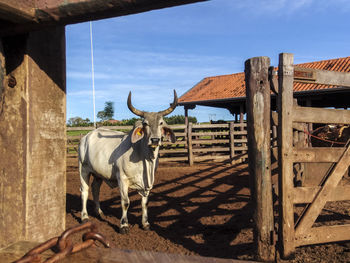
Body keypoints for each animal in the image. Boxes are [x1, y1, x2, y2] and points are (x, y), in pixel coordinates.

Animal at [78, 91, 176, 235]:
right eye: (145, 123)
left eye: (161, 123)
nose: (155, 140)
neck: (143, 156)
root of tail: (86, 136)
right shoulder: (122, 179)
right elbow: (125, 202)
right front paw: (124, 225)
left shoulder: (147, 185)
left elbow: (145, 203)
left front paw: (145, 223)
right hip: (83, 169)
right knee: (84, 191)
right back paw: (84, 217)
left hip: (98, 173)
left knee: (95, 188)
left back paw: (99, 212)